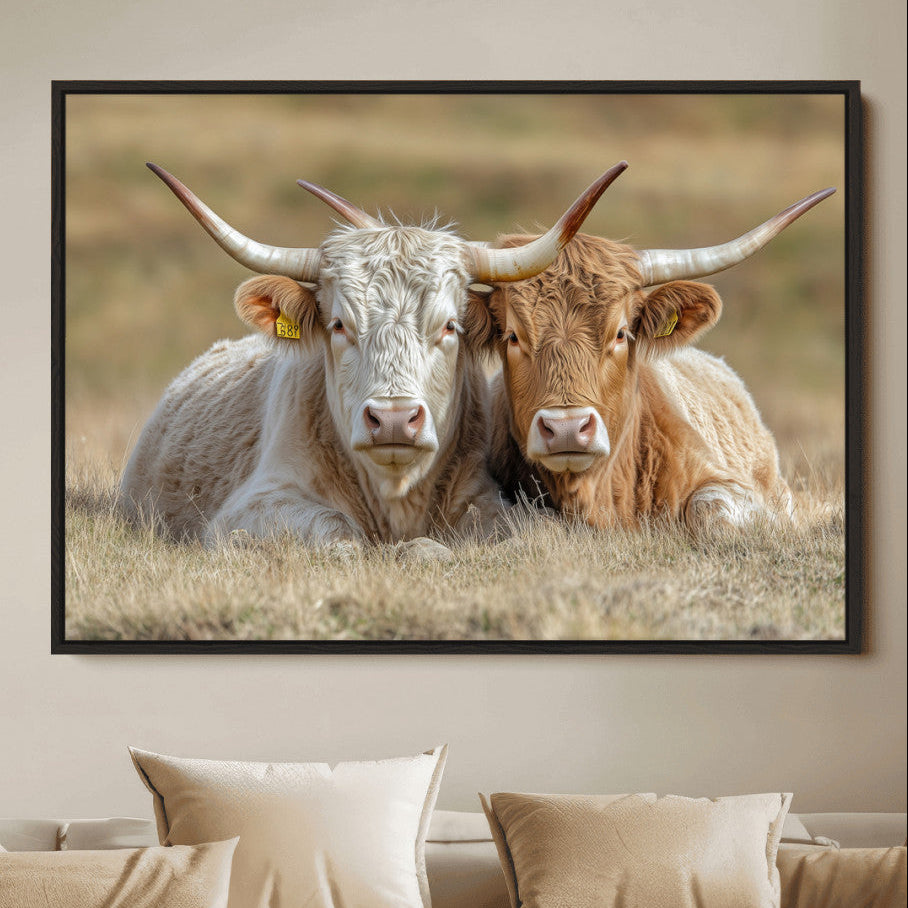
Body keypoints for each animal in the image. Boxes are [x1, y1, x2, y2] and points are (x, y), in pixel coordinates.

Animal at [119, 161, 628, 549]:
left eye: (449, 326)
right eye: (339, 325)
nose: (394, 420)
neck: (395, 496)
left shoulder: (491, 499)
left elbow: (523, 533)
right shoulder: (253, 507)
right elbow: (336, 532)